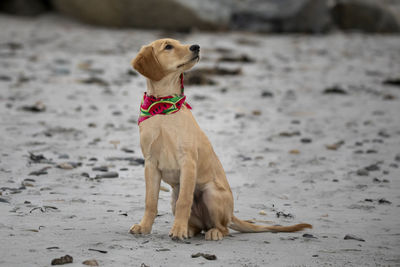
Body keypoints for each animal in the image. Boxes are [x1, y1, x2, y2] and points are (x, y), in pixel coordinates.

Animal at [130, 38, 310, 242]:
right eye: (168, 46)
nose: (196, 47)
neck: (162, 108)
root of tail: (231, 214)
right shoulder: (150, 164)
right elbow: (150, 201)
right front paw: (144, 227)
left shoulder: (188, 161)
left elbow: (185, 201)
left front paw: (178, 230)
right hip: (174, 196)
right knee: (199, 226)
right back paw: (190, 229)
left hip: (211, 193)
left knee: (223, 227)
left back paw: (211, 232)